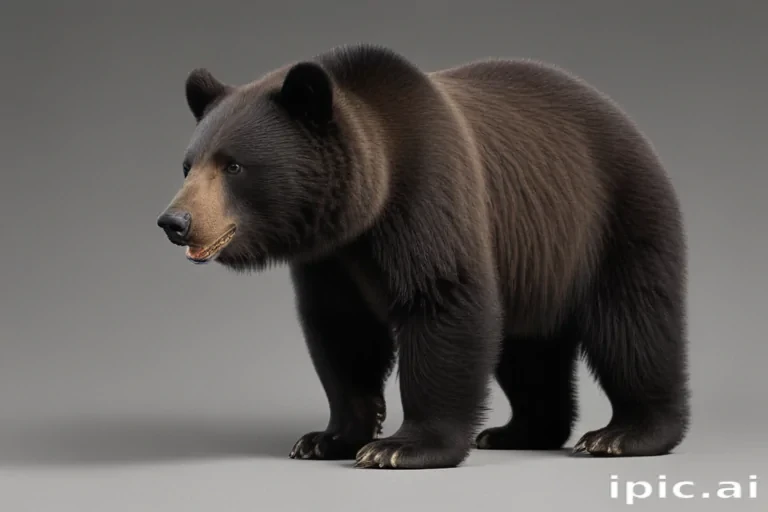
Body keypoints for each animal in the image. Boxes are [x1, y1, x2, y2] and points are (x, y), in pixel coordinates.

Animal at [156, 43, 690, 470]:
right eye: (188, 165)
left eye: (233, 166)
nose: (175, 222)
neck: (367, 206)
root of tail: (622, 117)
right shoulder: (332, 258)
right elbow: (341, 333)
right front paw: (325, 438)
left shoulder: (427, 193)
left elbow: (442, 300)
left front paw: (400, 447)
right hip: (538, 260)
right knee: (528, 349)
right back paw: (519, 431)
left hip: (612, 217)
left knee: (632, 324)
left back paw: (624, 434)